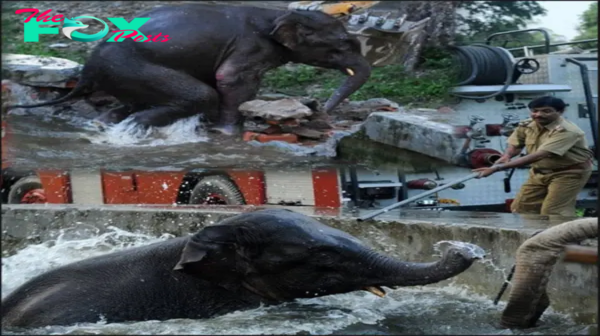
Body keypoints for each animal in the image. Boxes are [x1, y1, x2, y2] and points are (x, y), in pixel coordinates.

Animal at [11, 3, 372, 135]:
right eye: (343, 46)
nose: (324, 110)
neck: (275, 14)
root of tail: (87, 71)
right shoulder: (249, 47)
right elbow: (230, 80)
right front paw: (227, 134)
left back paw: (106, 126)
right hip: (131, 66)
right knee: (199, 95)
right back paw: (136, 129)